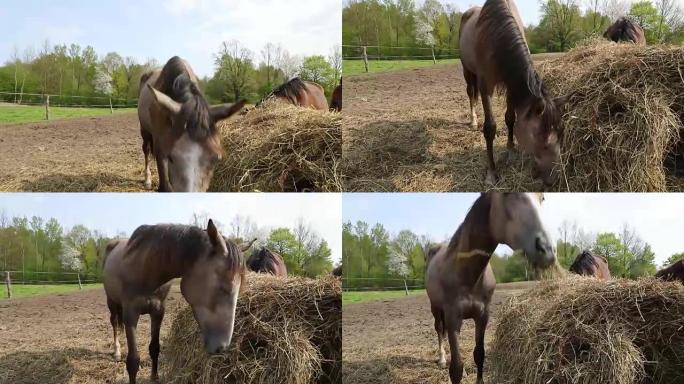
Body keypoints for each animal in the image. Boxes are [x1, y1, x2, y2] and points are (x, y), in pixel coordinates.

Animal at [104, 220, 246, 382]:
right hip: (111, 302)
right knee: (114, 323)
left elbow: (155, 348)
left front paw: (155, 377)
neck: (146, 268)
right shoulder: (131, 313)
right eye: (224, 288)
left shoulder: (158, 311)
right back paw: (116, 351)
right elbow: (133, 360)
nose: (222, 347)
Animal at [139, 56, 246, 192]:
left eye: (216, 159)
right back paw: (147, 179)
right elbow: (164, 181)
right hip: (144, 130)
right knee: (146, 150)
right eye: (171, 157)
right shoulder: (160, 145)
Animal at [424, 194, 560, 382]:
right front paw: (454, 367)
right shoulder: (453, 317)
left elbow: (479, 355)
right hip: (435, 308)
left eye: (543, 198)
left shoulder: (483, 316)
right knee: (439, 329)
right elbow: (456, 368)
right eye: (507, 195)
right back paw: (442, 358)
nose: (547, 250)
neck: (468, 274)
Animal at [462, 0, 568, 186]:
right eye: (545, 143)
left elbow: (510, 119)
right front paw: (492, 173)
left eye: (562, 136)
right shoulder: (485, 85)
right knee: (470, 94)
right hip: (467, 71)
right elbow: (490, 128)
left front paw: (511, 151)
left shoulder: (511, 83)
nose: (555, 180)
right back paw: (473, 121)